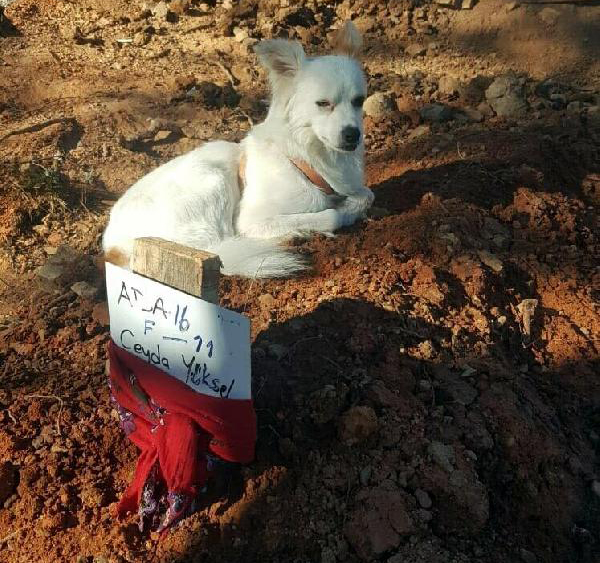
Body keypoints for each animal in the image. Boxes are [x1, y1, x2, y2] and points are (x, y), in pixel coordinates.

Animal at [102, 21, 374, 278]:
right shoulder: (250, 221)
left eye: (359, 101)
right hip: (213, 181)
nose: (353, 134)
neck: (305, 156)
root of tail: (113, 248)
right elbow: (331, 214)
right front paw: (340, 214)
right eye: (323, 104)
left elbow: (367, 194)